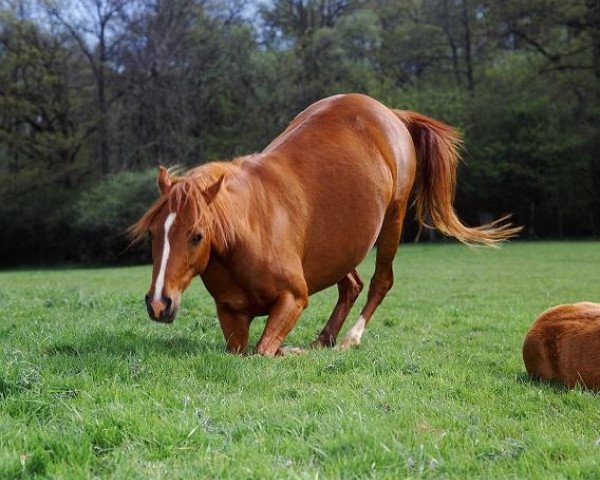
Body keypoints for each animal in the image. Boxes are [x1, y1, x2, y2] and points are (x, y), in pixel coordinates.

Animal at [131, 94, 520, 356]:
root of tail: (391, 114)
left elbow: (264, 351)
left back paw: (349, 339)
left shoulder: (292, 300)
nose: (159, 303)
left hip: (392, 222)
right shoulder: (231, 315)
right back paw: (324, 339)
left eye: (196, 235)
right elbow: (245, 349)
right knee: (351, 284)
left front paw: (290, 351)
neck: (246, 230)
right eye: (153, 233)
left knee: (380, 282)